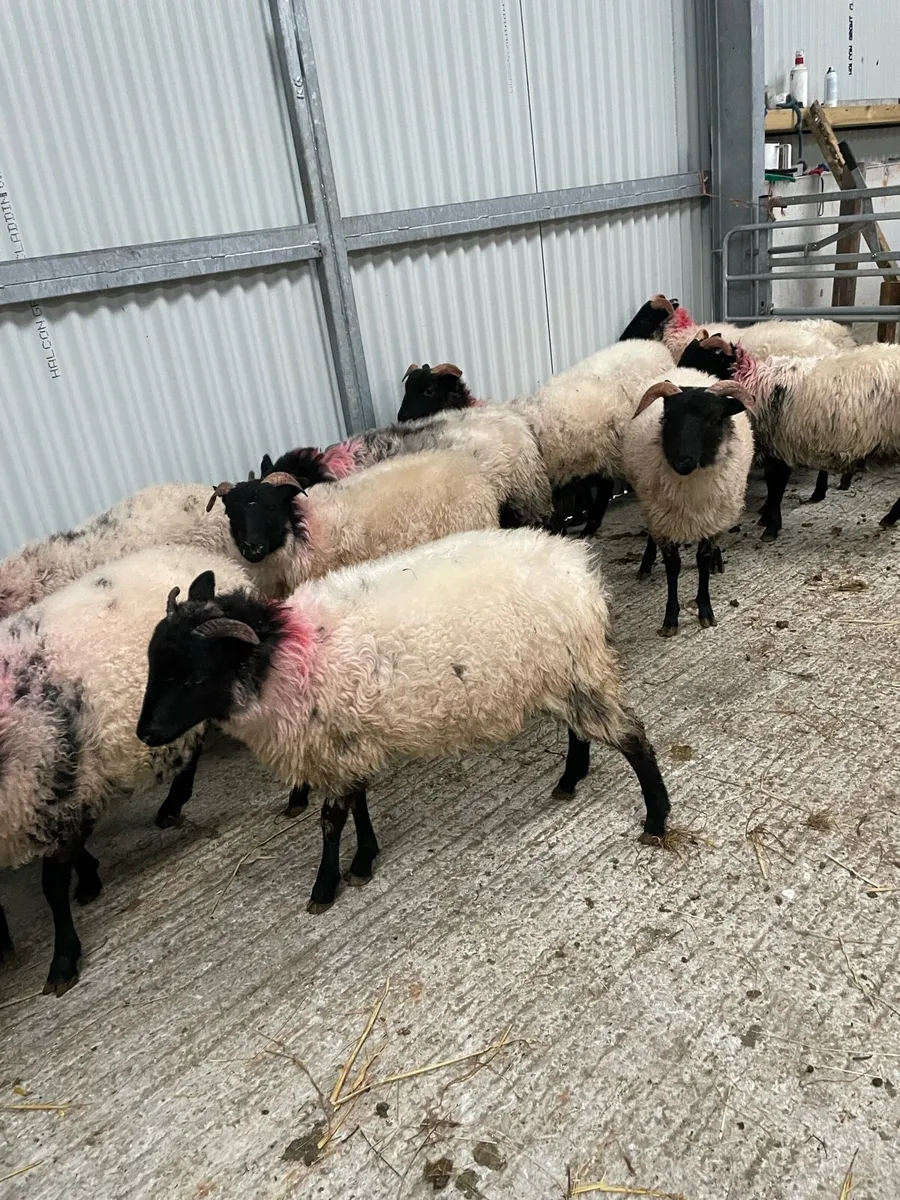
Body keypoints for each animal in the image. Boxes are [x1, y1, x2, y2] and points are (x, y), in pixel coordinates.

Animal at [0, 546, 248, 995]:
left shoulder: (55, 790)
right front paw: (89, 878)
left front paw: (64, 960)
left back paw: (172, 805)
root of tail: (200, 555)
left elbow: (52, 887)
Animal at [136, 528, 673, 912]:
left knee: (632, 737)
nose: (146, 734)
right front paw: (363, 860)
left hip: (576, 666)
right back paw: (570, 779)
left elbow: (331, 819)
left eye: (194, 676)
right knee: (581, 730)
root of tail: (580, 568)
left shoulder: (335, 743)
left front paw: (324, 888)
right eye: (153, 664)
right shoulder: (350, 737)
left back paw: (656, 818)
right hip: (561, 674)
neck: (280, 652)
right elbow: (357, 804)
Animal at [621, 374, 756, 637]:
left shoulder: (713, 519)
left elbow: (702, 561)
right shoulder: (663, 520)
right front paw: (670, 619)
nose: (682, 462)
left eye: (713, 419)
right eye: (669, 418)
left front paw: (705, 611)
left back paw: (717, 562)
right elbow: (673, 566)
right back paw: (645, 564)